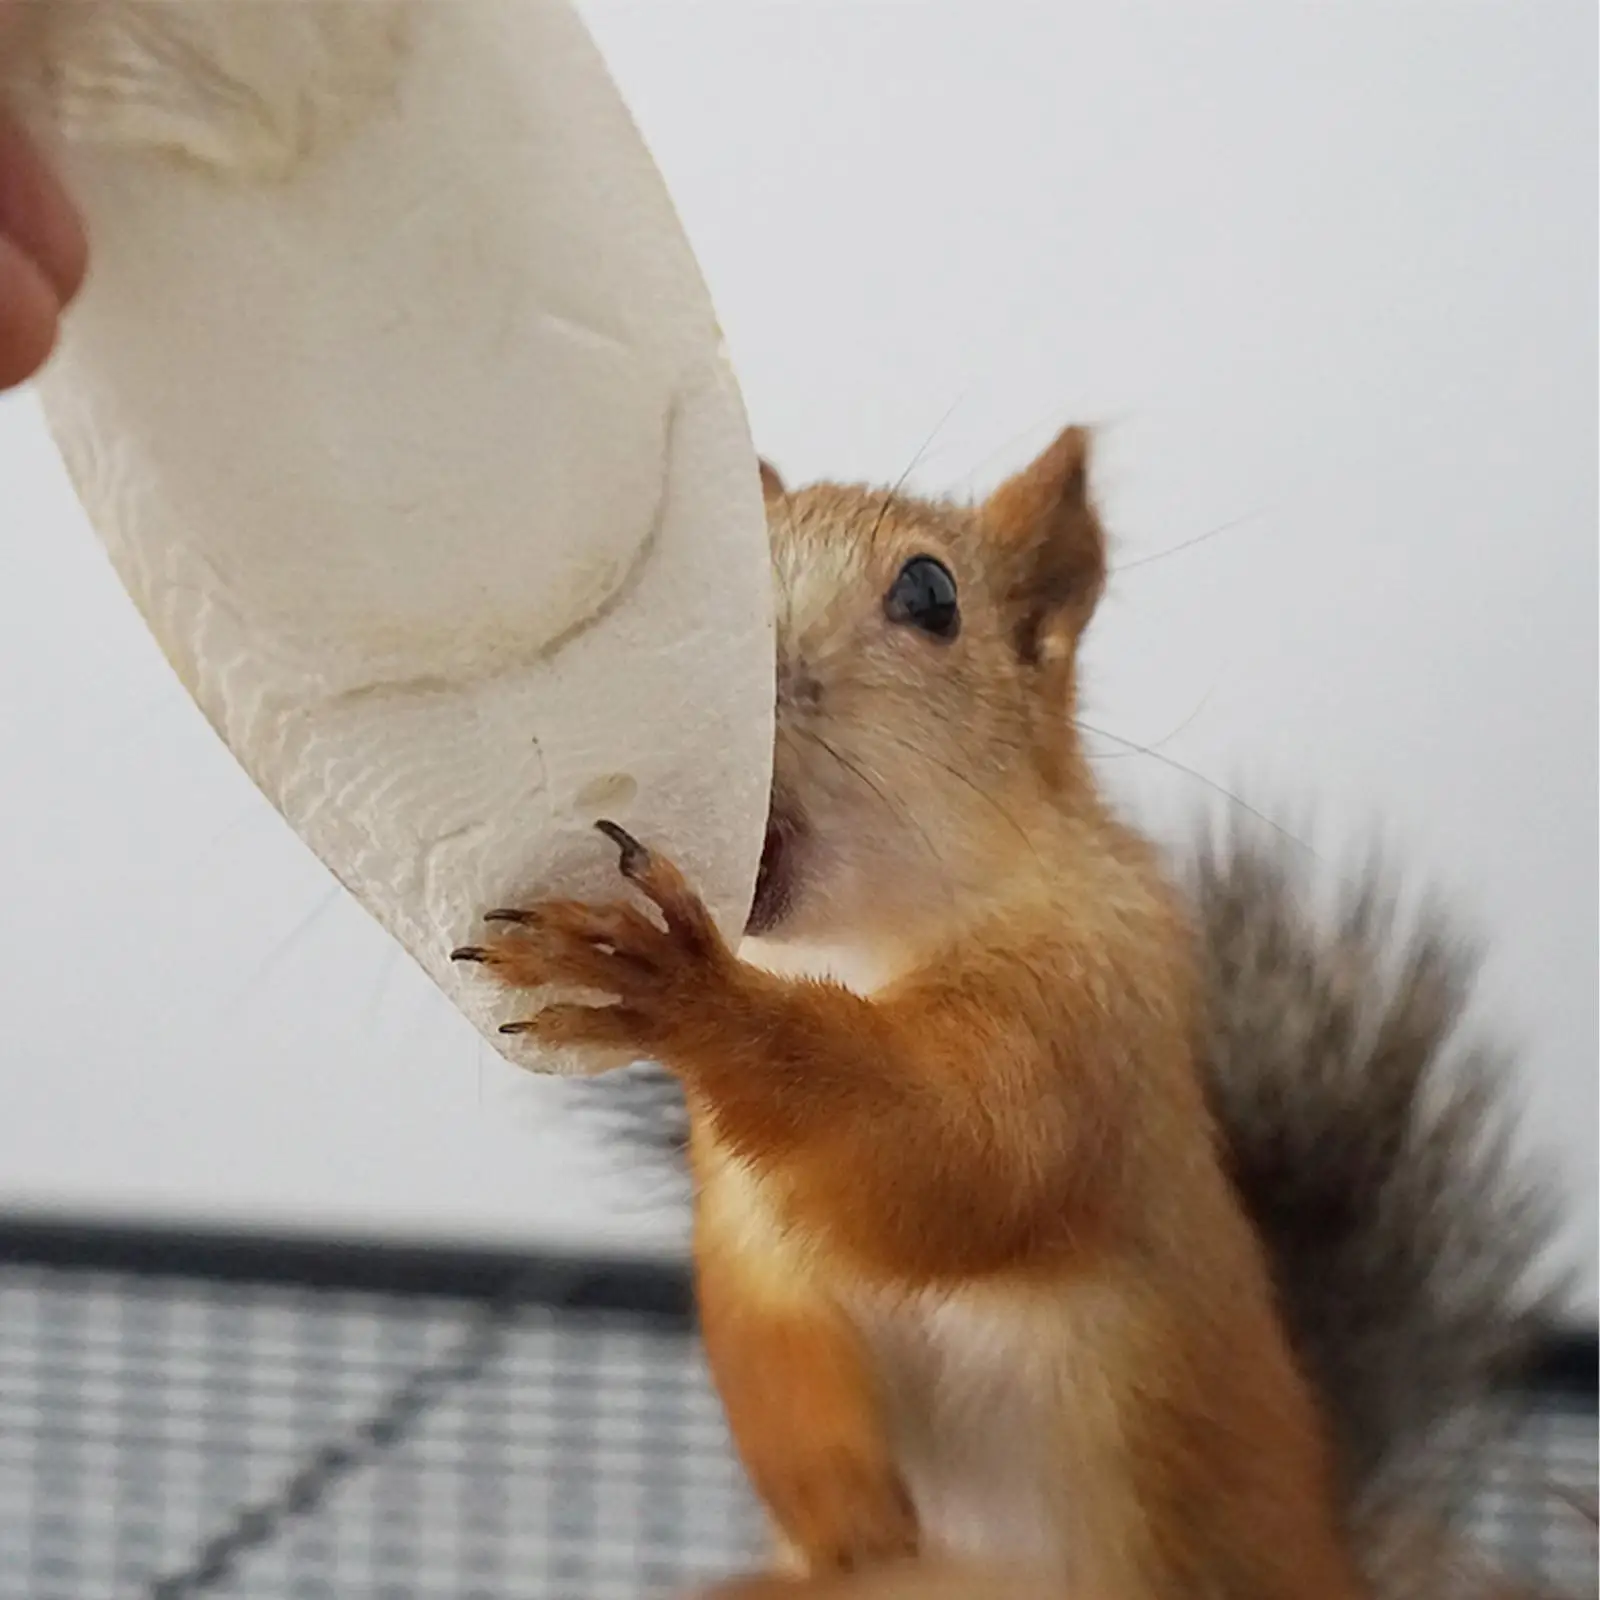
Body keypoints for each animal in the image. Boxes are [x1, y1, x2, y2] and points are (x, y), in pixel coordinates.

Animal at [454, 428, 1548, 1600]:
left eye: (930, 594)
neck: (858, 947)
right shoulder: (744, 1212)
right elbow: (766, 1335)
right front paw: (847, 1517)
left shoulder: (1082, 1010)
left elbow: (962, 1153)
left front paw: (686, 988)